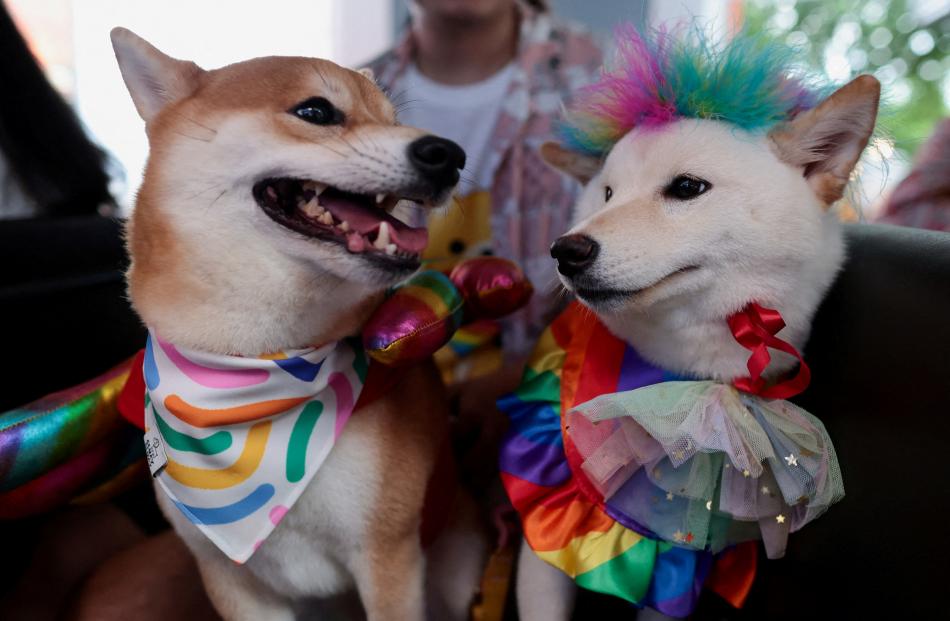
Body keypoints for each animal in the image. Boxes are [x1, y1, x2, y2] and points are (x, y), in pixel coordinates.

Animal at [109, 27, 488, 620]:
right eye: (316, 111)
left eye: (392, 118)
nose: (447, 154)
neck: (254, 365)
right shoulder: (230, 578)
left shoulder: (388, 556)